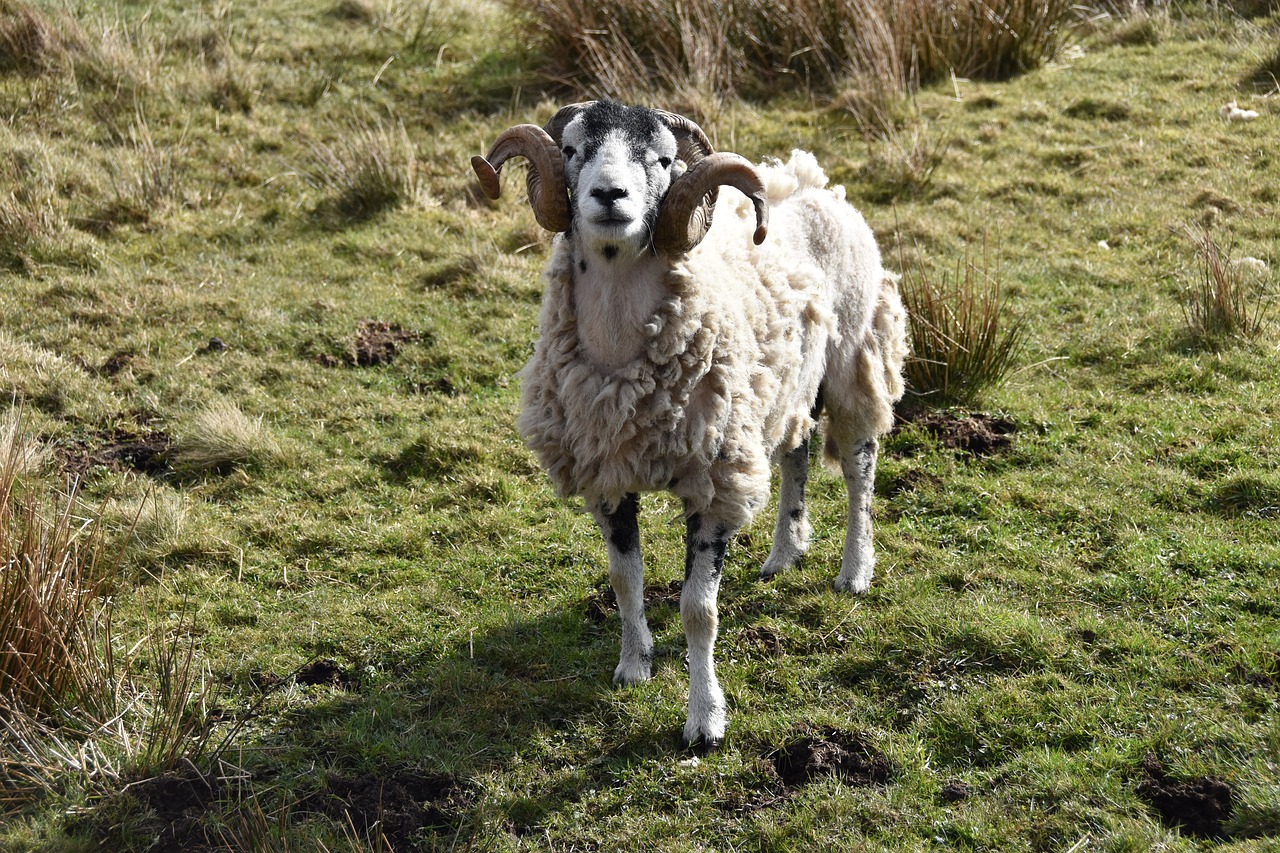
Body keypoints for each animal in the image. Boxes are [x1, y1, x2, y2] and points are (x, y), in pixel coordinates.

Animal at [473, 96, 911, 742]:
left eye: (663, 159)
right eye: (573, 149)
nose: (610, 195)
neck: (620, 355)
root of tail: (812, 182)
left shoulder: (715, 481)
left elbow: (698, 609)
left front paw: (705, 719)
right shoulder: (607, 474)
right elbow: (625, 581)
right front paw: (634, 666)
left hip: (855, 357)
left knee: (860, 469)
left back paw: (854, 570)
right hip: (783, 385)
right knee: (797, 455)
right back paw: (784, 553)